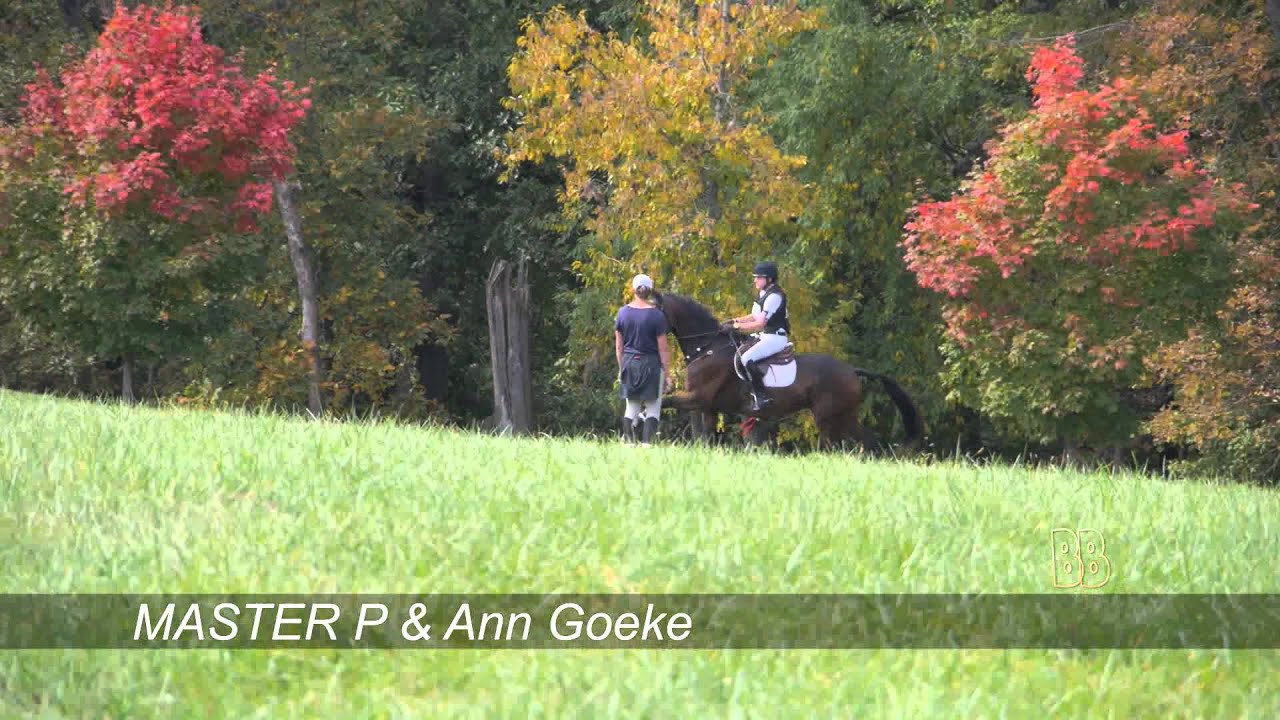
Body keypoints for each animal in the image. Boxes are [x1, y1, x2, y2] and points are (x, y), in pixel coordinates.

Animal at [651, 290, 925, 453]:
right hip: (842, 415)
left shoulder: (698, 398)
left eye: (655, 309)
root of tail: (851, 370)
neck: (707, 348)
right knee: (865, 441)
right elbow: (705, 437)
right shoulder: (707, 406)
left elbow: (667, 402)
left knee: (841, 445)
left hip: (829, 416)